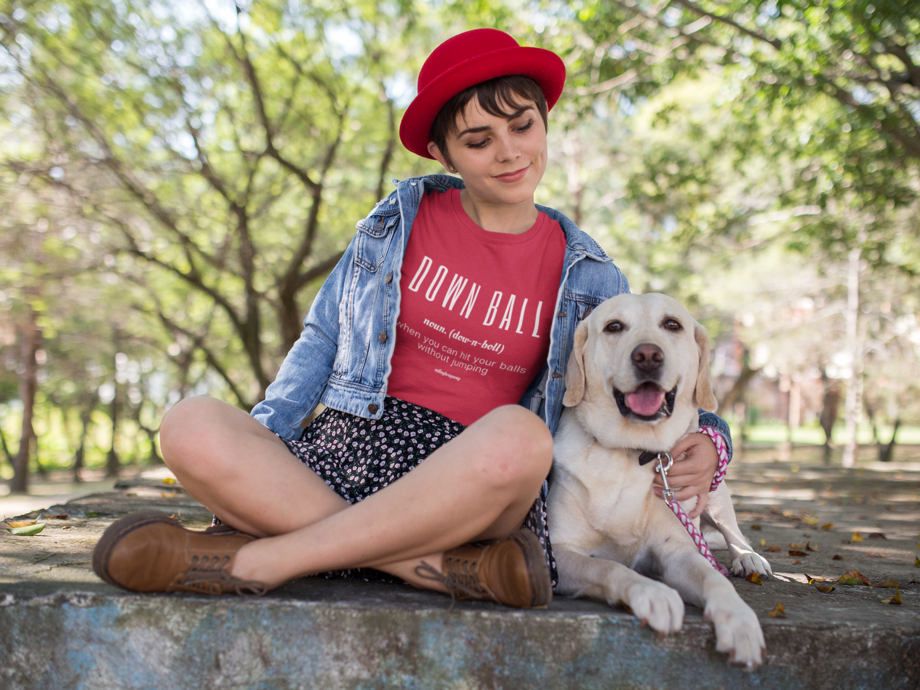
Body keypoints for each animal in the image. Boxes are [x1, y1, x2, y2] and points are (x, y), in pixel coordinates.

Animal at [548, 292, 772, 668]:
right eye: (613, 327)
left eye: (672, 325)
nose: (648, 356)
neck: (631, 452)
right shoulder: (558, 552)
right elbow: (609, 567)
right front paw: (653, 592)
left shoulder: (677, 550)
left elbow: (715, 580)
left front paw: (739, 620)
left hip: (716, 496)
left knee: (733, 534)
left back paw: (748, 558)